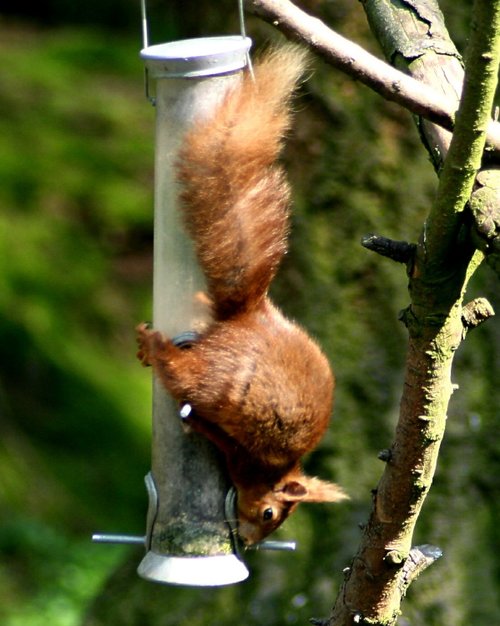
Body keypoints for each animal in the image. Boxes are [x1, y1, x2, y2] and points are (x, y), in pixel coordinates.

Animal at [137, 44, 348, 544]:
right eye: (271, 513)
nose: (250, 543)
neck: (271, 470)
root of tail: (251, 316)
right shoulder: (243, 455)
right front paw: (194, 422)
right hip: (218, 380)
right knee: (182, 374)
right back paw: (153, 346)